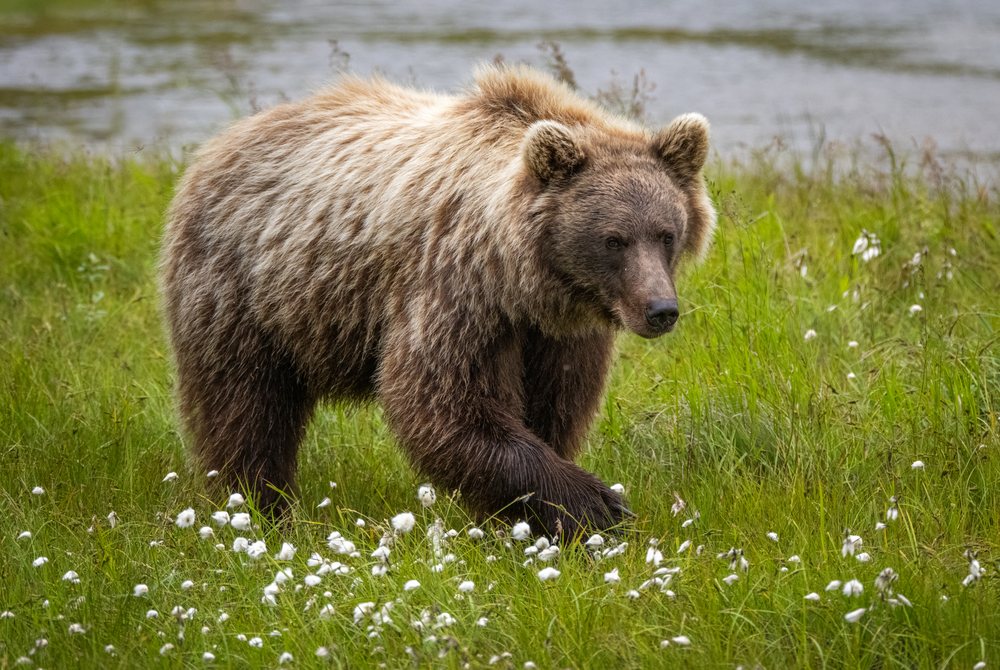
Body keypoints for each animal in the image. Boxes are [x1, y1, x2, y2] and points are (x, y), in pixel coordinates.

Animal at [160, 64, 715, 537]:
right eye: (614, 239)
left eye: (666, 233)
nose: (660, 310)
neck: (523, 278)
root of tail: (220, 143)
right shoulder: (455, 289)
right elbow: (445, 402)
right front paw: (595, 502)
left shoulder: (557, 332)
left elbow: (553, 404)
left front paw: (536, 517)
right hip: (244, 288)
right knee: (244, 403)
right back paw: (258, 504)